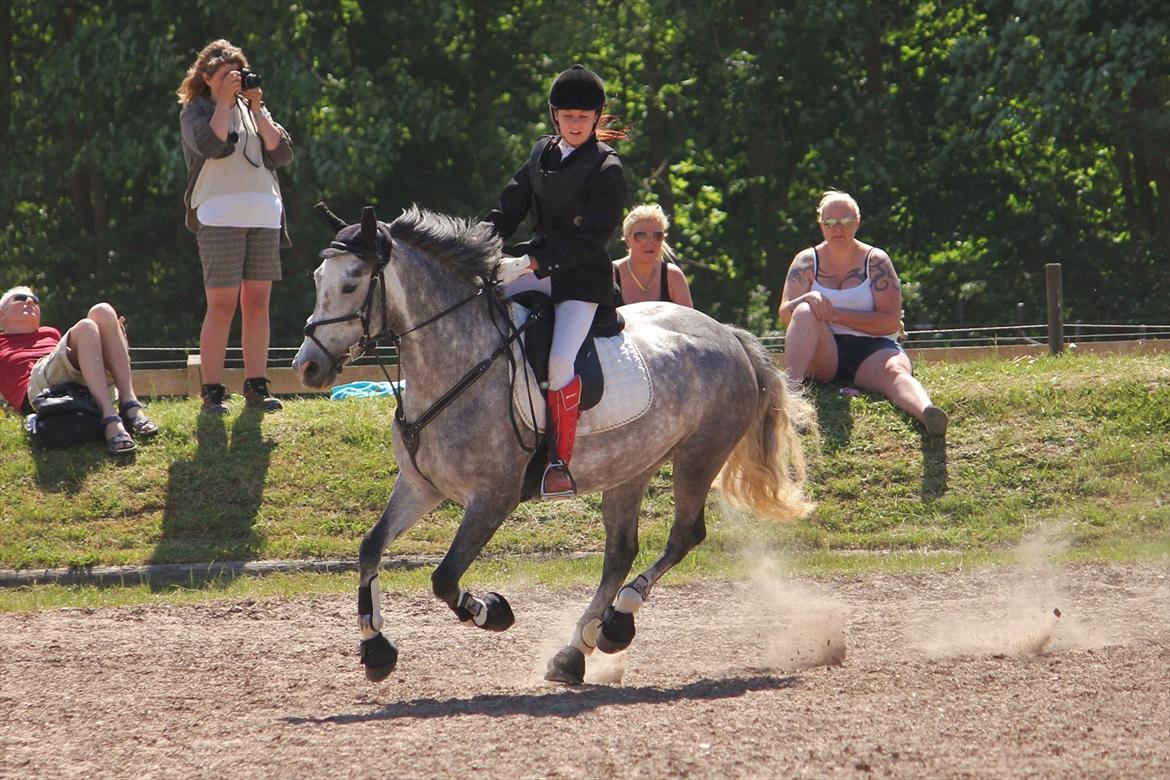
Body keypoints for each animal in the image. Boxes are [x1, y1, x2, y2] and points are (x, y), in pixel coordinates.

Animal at [292, 204, 809, 687]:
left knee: (683, 536)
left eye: (351, 284)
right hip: (631, 466)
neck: (457, 360)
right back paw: (575, 651)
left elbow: (444, 578)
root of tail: (729, 334)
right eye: (318, 279)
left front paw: (493, 611)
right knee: (620, 551)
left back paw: (616, 623)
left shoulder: (493, 497)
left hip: (699, 456)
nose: (307, 367)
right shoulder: (421, 487)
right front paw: (376, 649)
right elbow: (369, 549)